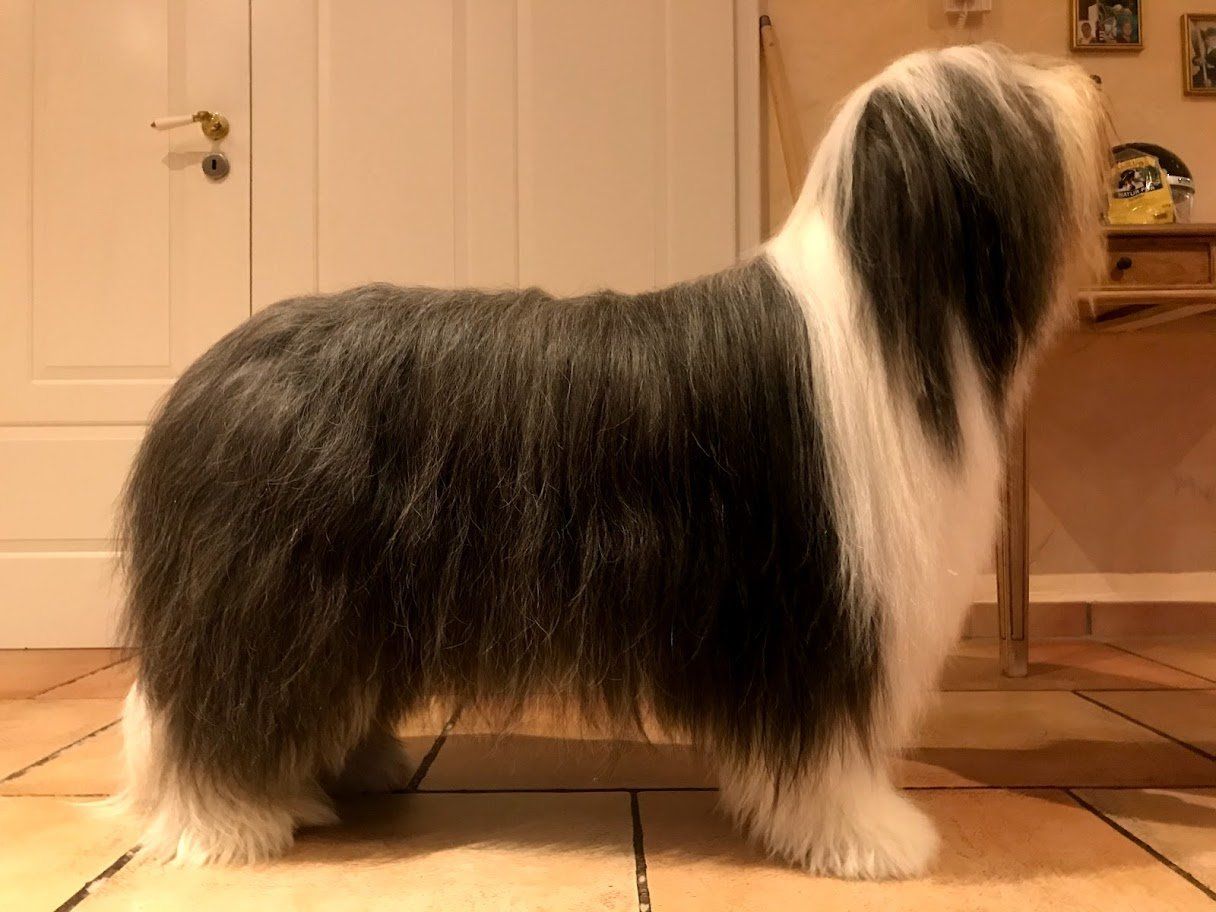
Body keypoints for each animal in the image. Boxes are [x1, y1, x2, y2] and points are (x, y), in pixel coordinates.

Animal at [116, 44, 1108, 879]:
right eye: (1013, 99)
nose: (1093, 85)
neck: (890, 316)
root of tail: (208, 374)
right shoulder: (813, 604)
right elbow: (828, 748)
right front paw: (870, 838)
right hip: (277, 590)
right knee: (218, 706)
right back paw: (226, 821)